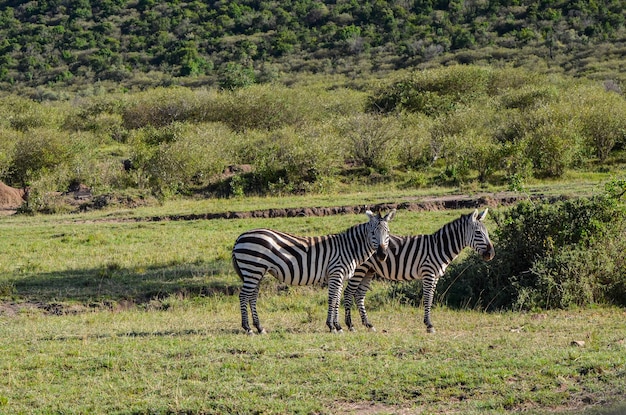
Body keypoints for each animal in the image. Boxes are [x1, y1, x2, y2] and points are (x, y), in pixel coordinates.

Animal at [232, 211, 392, 334]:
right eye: (372, 232)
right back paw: (248, 328)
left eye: (388, 233)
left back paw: (259, 327)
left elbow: (336, 299)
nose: (382, 255)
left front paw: (336, 326)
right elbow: (333, 299)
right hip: (253, 268)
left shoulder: (339, 276)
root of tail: (240, 237)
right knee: (244, 295)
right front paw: (334, 326)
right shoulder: (336, 273)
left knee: (252, 296)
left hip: (256, 271)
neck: (349, 248)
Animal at [342, 210, 492, 334]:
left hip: (369, 270)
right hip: (360, 269)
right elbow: (428, 298)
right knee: (349, 293)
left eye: (487, 232)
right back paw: (350, 325)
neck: (439, 247)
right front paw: (429, 325)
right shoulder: (428, 273)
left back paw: (368, 325)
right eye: (478, 233)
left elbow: (431, 298)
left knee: (359, 295)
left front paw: (428, 323)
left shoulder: (435, 276)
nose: (491, 254)